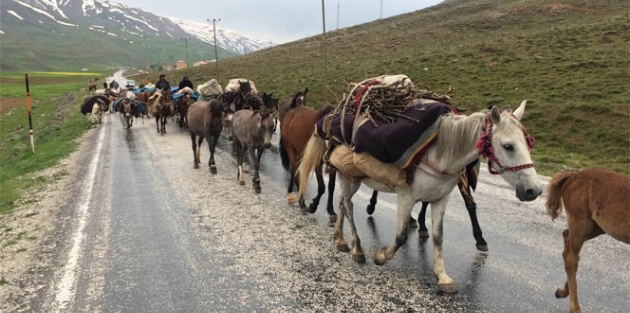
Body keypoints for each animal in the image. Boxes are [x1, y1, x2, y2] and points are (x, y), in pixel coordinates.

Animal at [298, 99, 544, 292]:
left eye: (528, 143)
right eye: (508, 146)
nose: (534, 190)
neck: (439, 153)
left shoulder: (439, 200)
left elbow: (438, 237)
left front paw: (442, 277)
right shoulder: (405, 198)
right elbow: (400, 237)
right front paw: (381, 257)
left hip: (349, 177)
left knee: (342, 203)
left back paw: (340, 239)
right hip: (349, 177)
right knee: (348, 205)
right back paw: (357, 249)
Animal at [544, 168, 628, 312]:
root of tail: (572, 175)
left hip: (596, 227)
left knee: (567, 238)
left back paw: (562, 292)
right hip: (582, 223)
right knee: (570, 257)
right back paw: (575, 308)